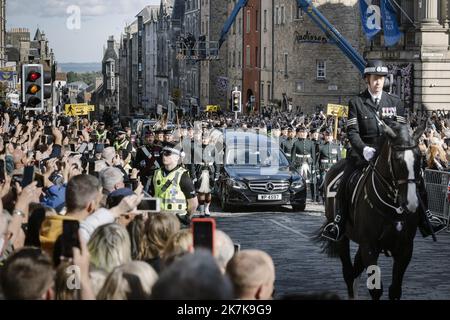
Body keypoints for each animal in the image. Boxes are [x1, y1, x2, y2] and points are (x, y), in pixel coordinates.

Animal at [316, 122, 426, 300]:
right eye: (397, 159)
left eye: (419, 157)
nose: (411, 203)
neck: (393, 207)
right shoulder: (369, 247)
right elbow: (375, 289)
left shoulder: (405, 249)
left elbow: (395, 290)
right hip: (342, 237)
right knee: (348, 272)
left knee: (355, 268)